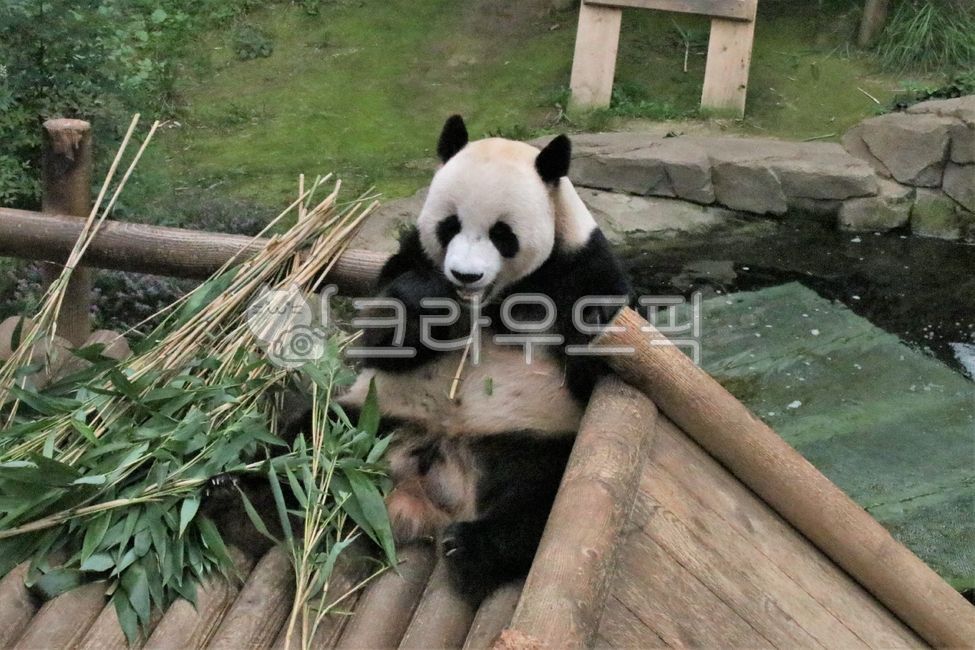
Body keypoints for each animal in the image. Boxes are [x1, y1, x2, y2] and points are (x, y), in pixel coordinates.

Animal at [335, 115, 631, 602]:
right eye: (450, 225)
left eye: (502, 234)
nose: (465, 275)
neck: (490, 300)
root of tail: (427, 494)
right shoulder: (411, 254)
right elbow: (381, 334)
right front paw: (427, 303)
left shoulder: (582, 268)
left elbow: (595, 365)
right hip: (376, 417)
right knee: (299, 439)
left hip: (526, 439)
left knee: (542, 500)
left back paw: (469, 549)